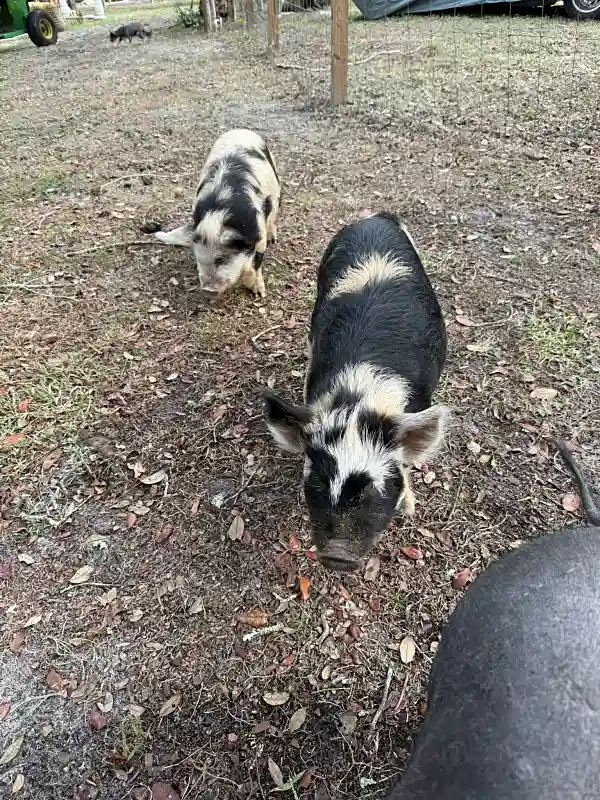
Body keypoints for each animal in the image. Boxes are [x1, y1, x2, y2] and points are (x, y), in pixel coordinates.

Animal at [155, 129, 280, 298]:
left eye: (221, 259)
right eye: (199, 258)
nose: (208, 290)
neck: (218, 214)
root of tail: (240, 129)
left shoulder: (259, 235)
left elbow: (256, 263)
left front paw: (259, 293)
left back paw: (273, 238)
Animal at [264, 212, 448, 572]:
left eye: (372, 488)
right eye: (318, 481)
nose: (337, 555)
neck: (360, 397)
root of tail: (374, 217)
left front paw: (409, 510)